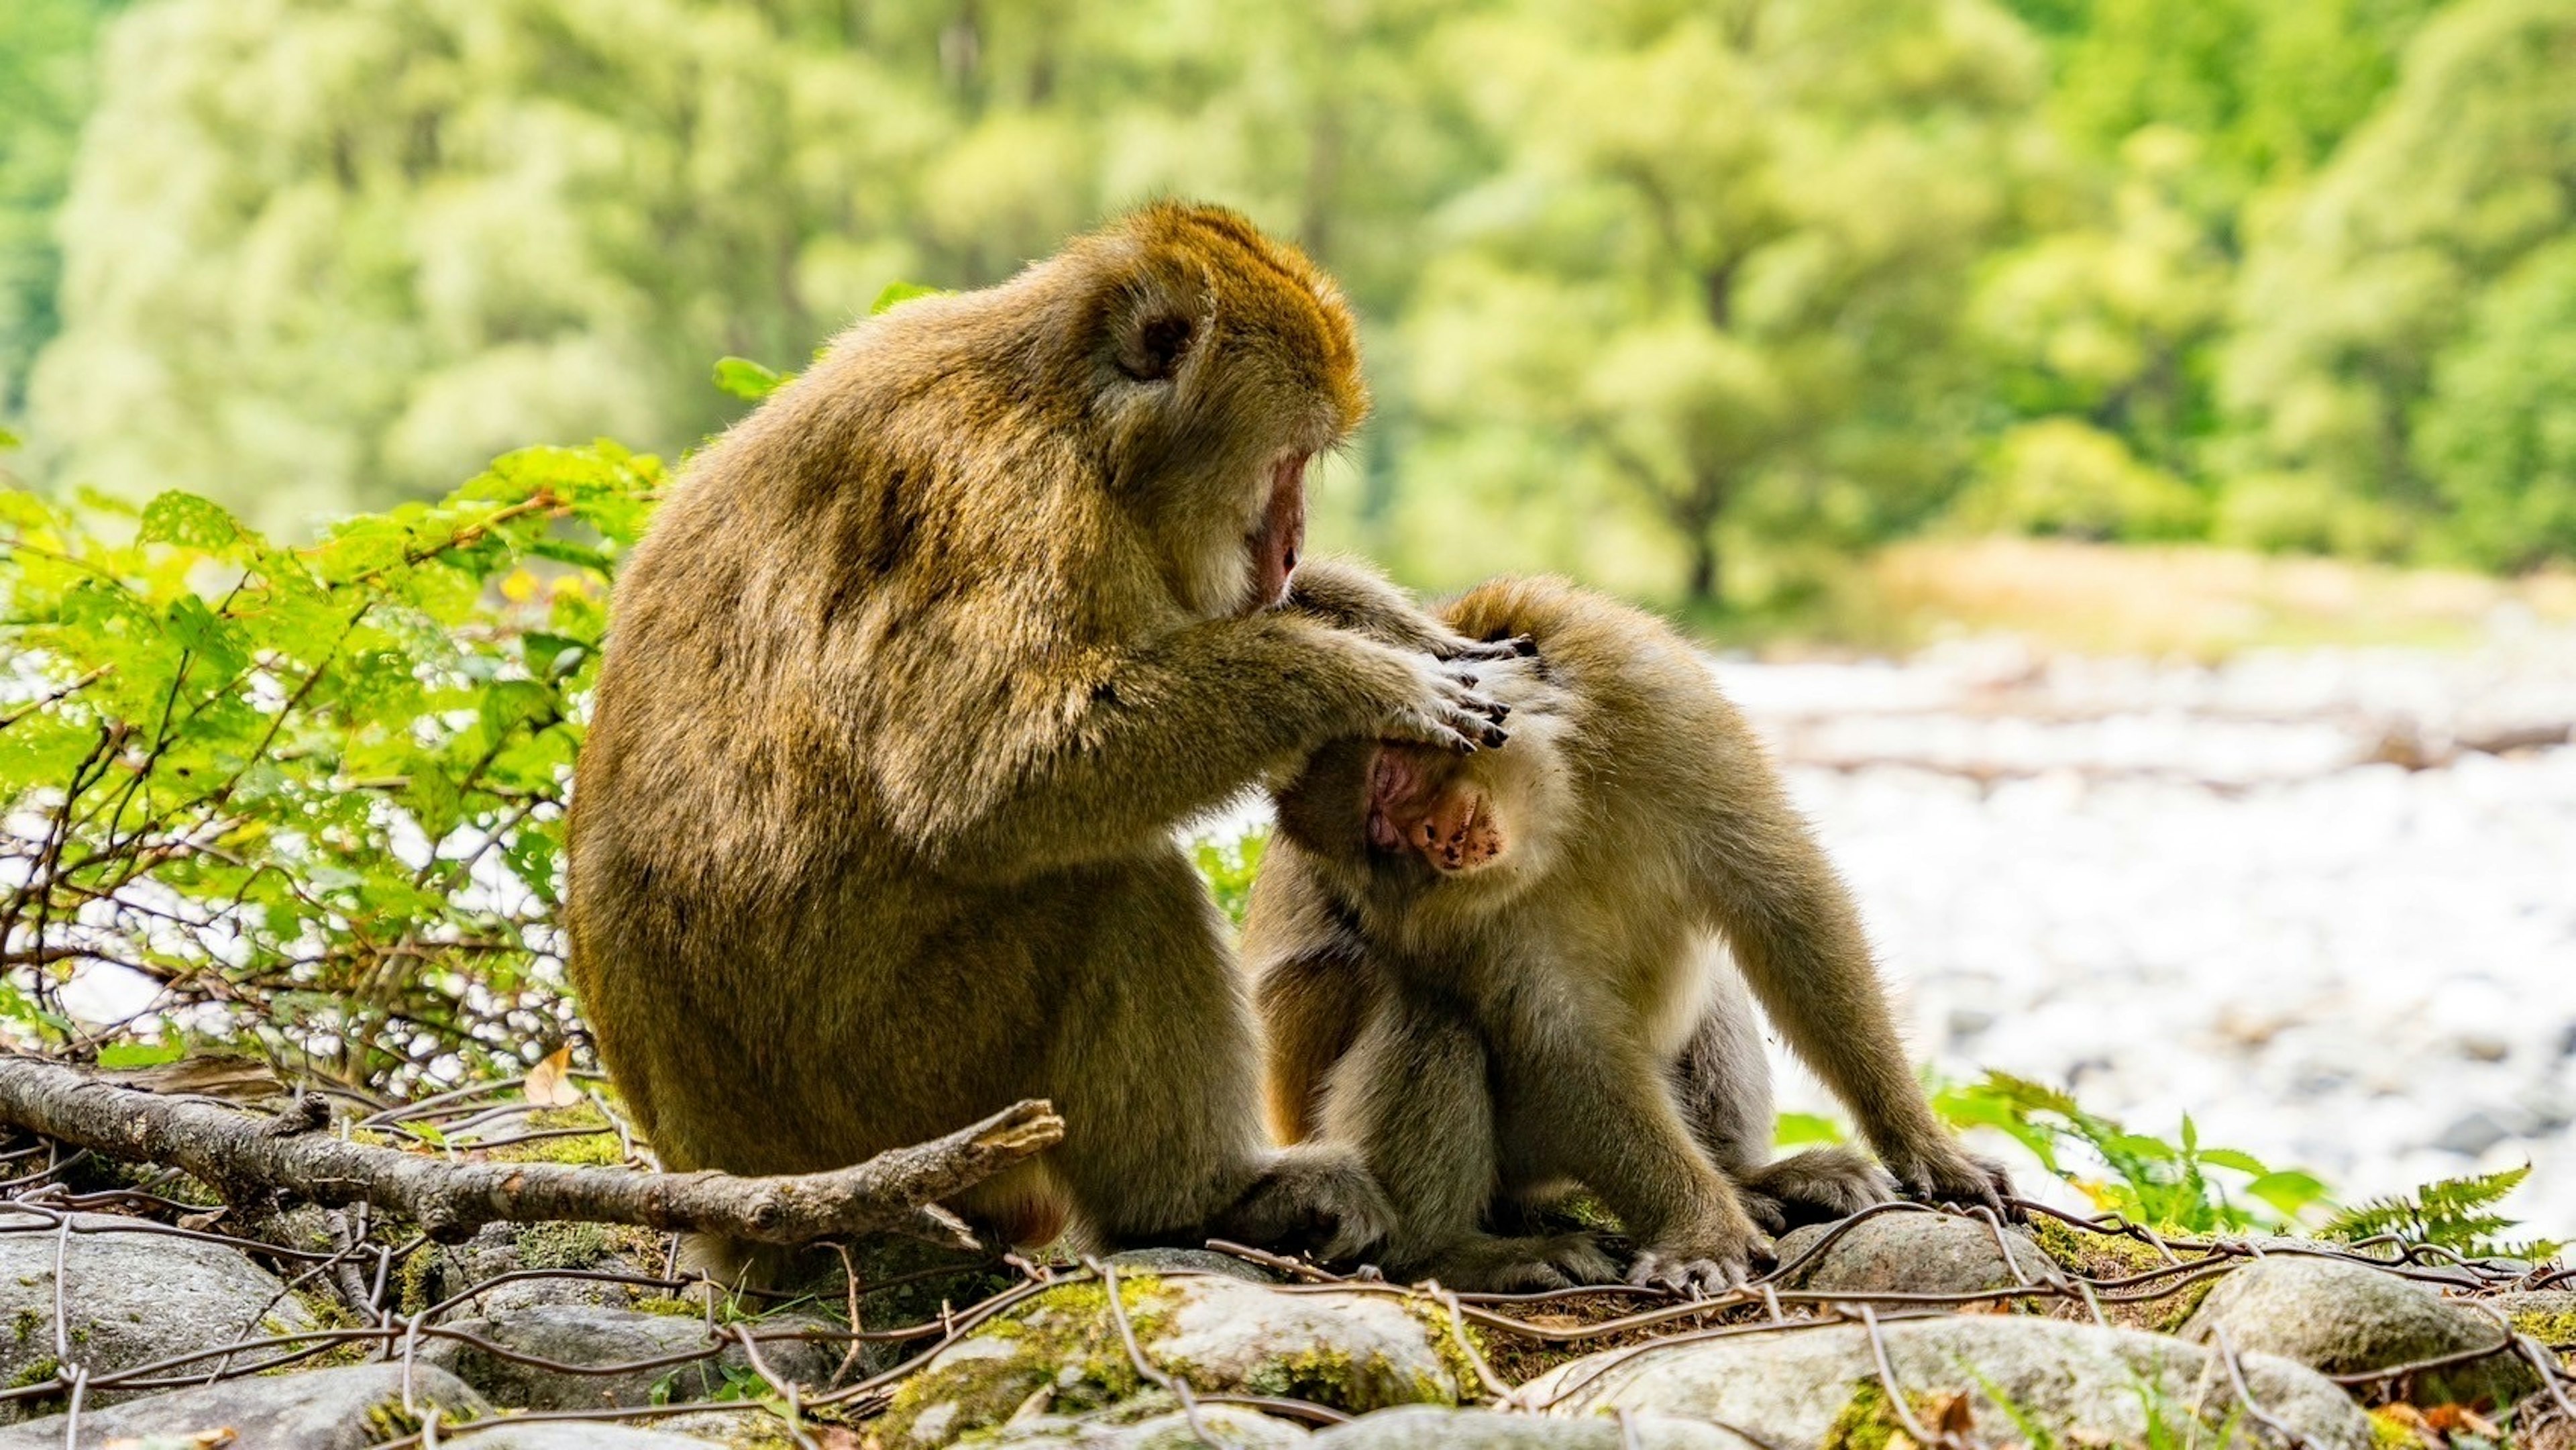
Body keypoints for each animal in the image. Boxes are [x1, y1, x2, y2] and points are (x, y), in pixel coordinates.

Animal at [569, 201, 1525, 1272]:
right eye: (1287, 462)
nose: (1290, 548)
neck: (1067, 411)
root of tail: (723, 1203)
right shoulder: (1010, 502)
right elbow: (987, 784)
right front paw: (1359, 681)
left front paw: (1388, 624)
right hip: (900, 1080)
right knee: (1108, 883)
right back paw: (1207, 1201)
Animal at [1246, 576, 2009, 1292]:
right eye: (1378, 830)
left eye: (1392, 775)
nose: (1433, 841)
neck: (1558, 795)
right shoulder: (1436, 910)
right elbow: (1561, 1036)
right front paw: (1703, 1229)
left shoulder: (1647, 685)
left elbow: (1788, 910)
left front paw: (1926, 1147)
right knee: (1430, 1015)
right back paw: (1450, 1254)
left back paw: (1751, 1179)